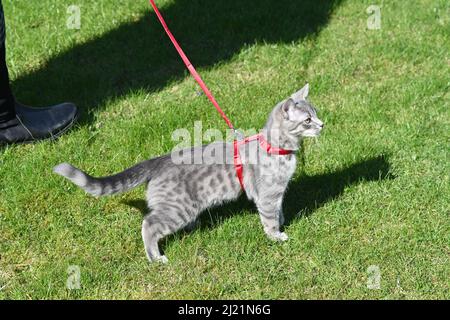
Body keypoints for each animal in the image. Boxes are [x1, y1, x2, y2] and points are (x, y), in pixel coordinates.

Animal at [54, 83, 322, 262]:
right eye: (307, 120)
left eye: (316, 113)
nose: (322, 124)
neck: (276, 147)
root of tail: (159, 161)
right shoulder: (267, 193)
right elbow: (269, 217)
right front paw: (276, 235)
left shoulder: (276, 193)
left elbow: (278, 210)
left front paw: (281, 222)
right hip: (177, 208)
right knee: (149, 224)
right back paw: (155, 257)